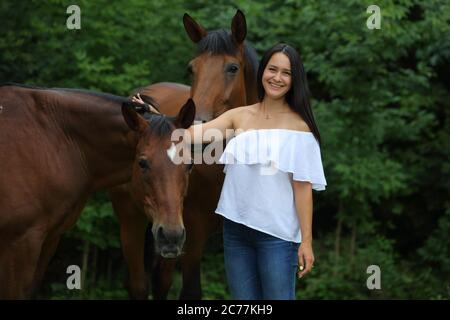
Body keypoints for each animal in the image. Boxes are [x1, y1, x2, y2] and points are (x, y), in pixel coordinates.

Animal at [0, 84, 195, 298]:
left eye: (190, 164)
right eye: (142, 163)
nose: (171, 235)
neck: (54, 140)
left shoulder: (48, 239)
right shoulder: (20, 244)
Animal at [110, 10, 258, 300]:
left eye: (232, 68)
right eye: (192, 69)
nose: (196, 125)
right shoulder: (193, 231)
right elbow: (191, 290)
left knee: (162, 280)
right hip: (131, 220)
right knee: (139, 284)